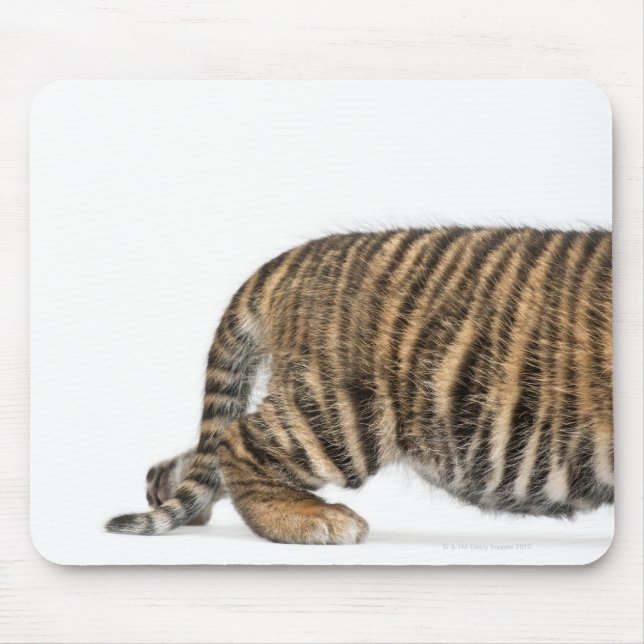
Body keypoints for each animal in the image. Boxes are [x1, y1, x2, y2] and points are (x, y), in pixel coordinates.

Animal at [106, 226, 613, 544]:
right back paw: (313, 519)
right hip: (343, 415)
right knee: (238, 439)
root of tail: (286, 262)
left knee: (205, 454)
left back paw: (171, 491)